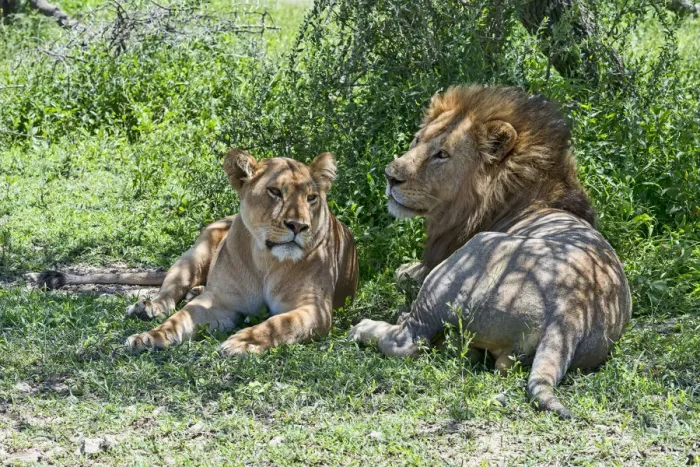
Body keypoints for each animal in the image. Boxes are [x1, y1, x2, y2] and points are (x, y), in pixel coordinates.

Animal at [35, 149, 358, 356]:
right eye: (275, 192)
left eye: (311, 198)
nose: (298, 226)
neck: (267, 260)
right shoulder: (219, 302)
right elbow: (179, 319)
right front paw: (151, 337)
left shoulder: (315, 309)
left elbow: (278, 324)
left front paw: (243, 342)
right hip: (194, 254)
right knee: (169, 294)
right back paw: (149, 308)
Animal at [349, 85, 632, 418]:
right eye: (417, 140)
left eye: (442, 154)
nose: (390, 176)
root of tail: (569, 314)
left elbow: (402, 276)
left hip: (466, 259)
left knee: (409, 340)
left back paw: (367, 327)